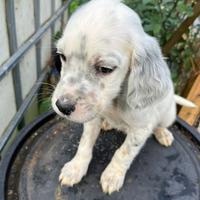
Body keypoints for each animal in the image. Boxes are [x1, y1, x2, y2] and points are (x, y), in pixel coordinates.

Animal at [51, 0, 195, 195]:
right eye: (62, 56)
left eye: (105, 69)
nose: (62, 106)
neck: (114, 101)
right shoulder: (91, 117)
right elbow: (85, 143)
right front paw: (75, 168)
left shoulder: (141, 129)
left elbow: (123, 152)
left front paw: (112, 176)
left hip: (167, 114)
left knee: (161, 124)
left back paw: (163, 133)